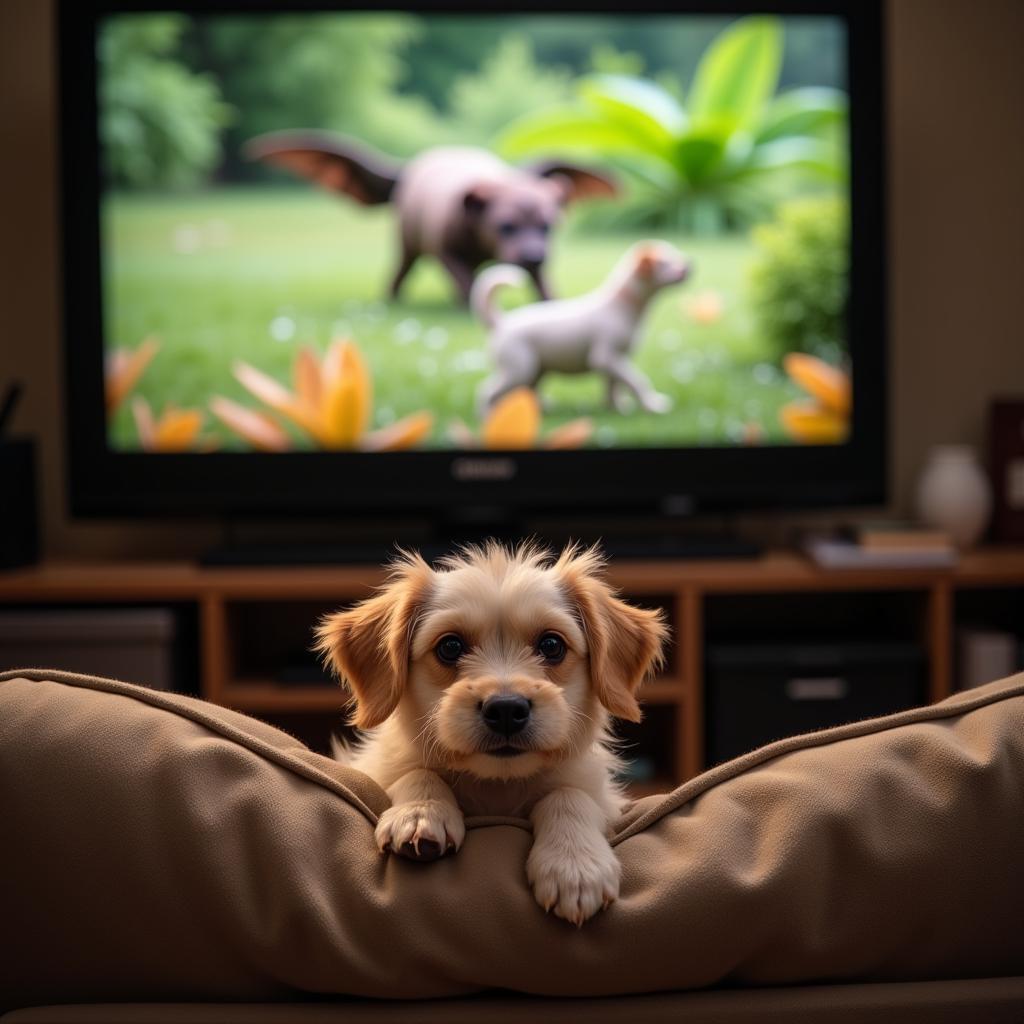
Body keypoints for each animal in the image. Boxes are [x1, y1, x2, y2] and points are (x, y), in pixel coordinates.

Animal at [245, 131, 614, 303]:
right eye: (505, 226)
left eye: (548, 226)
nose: (534, 255)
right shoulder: (446, 250)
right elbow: (462, 278)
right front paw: (467, 302)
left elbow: (543, 284)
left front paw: (551, 299)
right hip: (406, 243)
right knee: (400, 270)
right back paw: (392, 298)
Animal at [311, 544, 667, 929]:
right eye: (450, 646)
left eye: (552, 645)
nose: (507, 709)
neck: (497, 786)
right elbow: (417, 771)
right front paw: (421, 813)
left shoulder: (602, 796)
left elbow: (570, 795)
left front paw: (575, 865)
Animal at [471, 239, 688, 415]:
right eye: (666, 263)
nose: (689, 265)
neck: (621, 306)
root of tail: (501, 322)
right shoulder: (606, 357)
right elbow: (636, 379)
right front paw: (653, 404)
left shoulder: (615, 360)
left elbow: (613, 385)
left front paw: (615, 407)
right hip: (519, 369)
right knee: (487, 391)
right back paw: (488, 415)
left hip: (535, 371)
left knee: (526, 391)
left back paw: (539, 408)